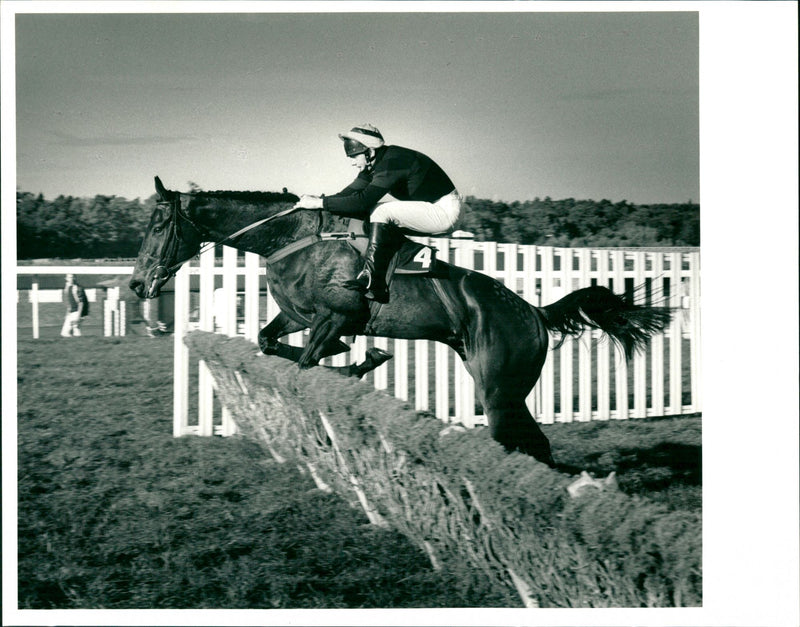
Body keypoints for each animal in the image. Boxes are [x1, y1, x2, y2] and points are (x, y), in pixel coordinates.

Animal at [131, 177, 676, 466]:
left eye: (158, 225)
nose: (137, 285)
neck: (294, 238)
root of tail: (533, 311)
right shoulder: (296, 315)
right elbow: (272, 343)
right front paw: (361, 359)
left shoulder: (337, 315)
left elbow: (310, 361)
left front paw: (357, 361)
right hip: (500, 386)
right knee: (533, 443)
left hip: (500, 388)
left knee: (523, 441)